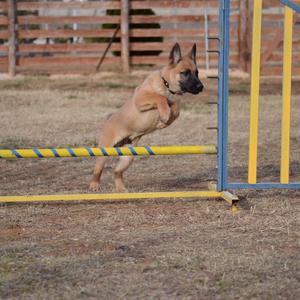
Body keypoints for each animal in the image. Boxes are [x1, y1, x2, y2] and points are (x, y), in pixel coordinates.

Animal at [88, 43, 203, 191]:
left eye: (197, 73)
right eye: (185, 73)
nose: (201, 87)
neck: (165, 84)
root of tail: (109, 119)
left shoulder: (174, 102)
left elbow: (176, 109)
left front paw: (164, 121)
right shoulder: (141, 99)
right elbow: (159, 98)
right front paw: (164, 115)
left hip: (128, 157)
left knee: (116, 171)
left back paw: (121, 189)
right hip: (104, 151)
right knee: (97, 169)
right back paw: (94, 185)